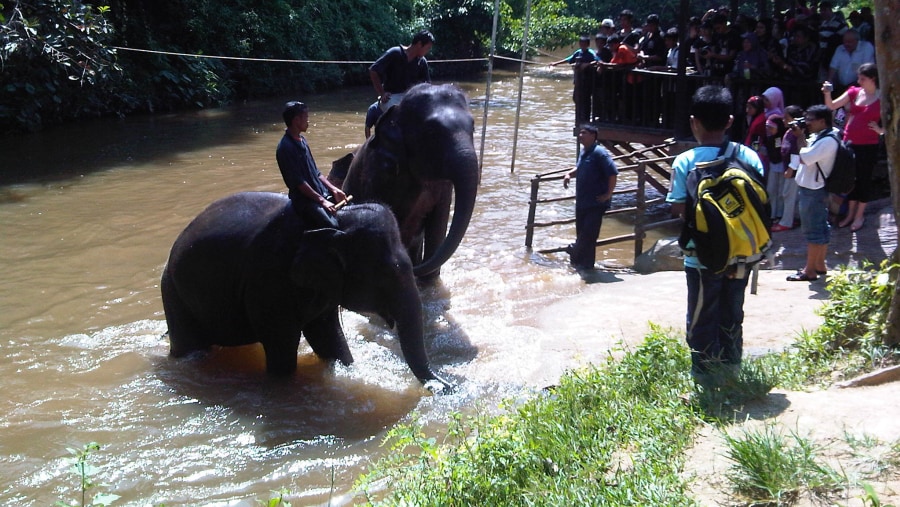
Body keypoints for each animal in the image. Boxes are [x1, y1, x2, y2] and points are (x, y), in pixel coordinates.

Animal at [160, 192, 450, 390]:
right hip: (173, 293)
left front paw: (345, 367)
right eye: (385, 274)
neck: (334, 222)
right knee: (190, 347)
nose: (447, 387)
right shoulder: (268, 281)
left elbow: (328, 336)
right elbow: (283, 348)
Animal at [338, 84, 478, 282]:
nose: (414, 269)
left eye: (473, 127)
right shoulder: (378, 172)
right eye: (431, 132)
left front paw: (429, 282)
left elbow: (438, 222)